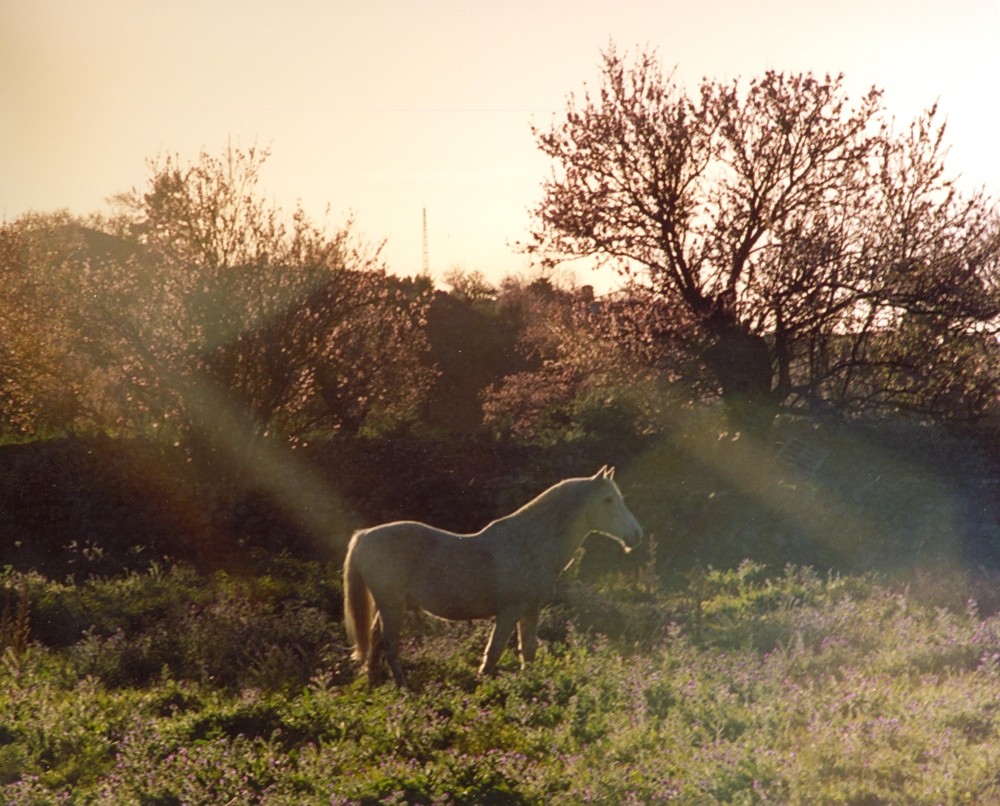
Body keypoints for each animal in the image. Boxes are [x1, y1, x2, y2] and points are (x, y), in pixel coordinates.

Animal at [344, 468, 640, 688]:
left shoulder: (530, 610)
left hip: (389, 606)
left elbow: (528, 651)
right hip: (392, 607)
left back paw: (373, 684)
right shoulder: (509, 611)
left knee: (375, 641)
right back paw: (403, 687)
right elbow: (493, 653)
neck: (528, 544)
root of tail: (364, 536)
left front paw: (531, 687)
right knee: (389, 645)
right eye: (608, 500)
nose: (636, 535)